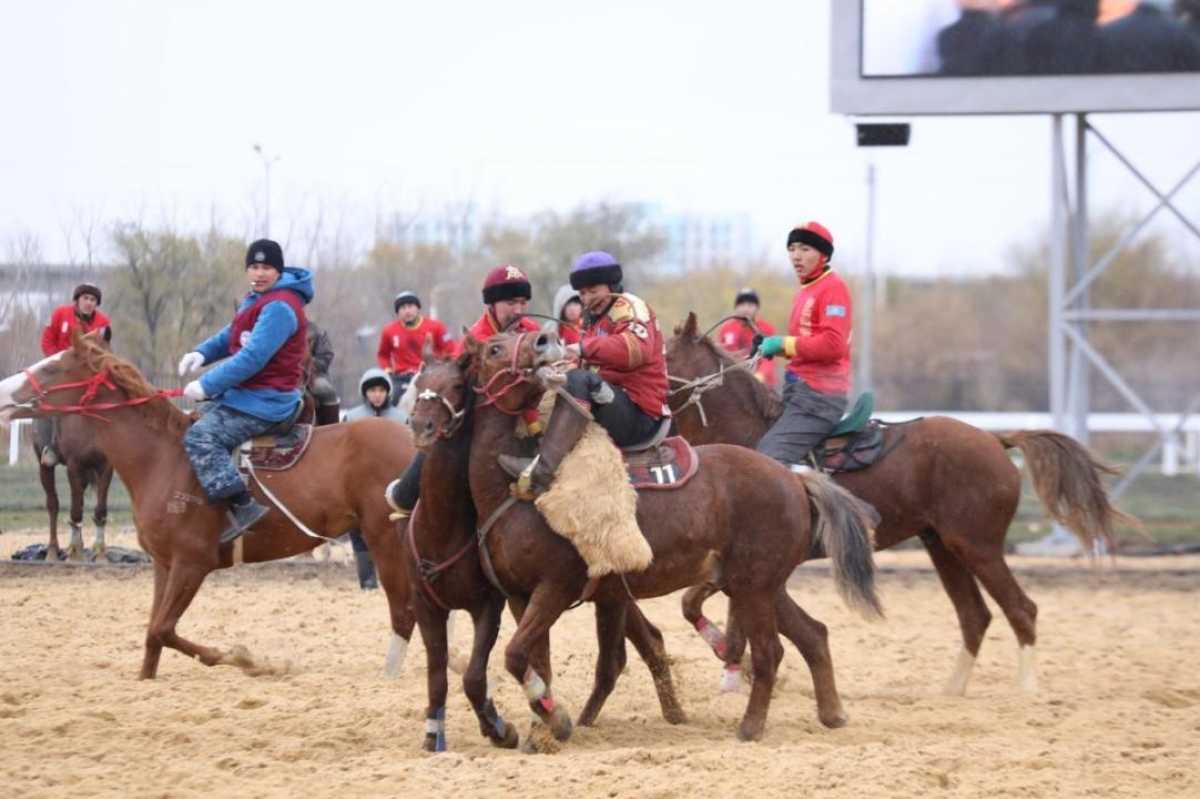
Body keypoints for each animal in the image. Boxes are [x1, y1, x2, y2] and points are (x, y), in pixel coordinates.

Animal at [0, 328, 417, 676]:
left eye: (52, 367)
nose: (4, 391)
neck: (164, 458)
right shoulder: (164, 565)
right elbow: (153, 636)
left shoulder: (192, 564)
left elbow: (164, 629)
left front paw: (239, 658)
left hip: (385, 542)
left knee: (404, 611)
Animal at [403, 355, 686, 753]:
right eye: (419, 382)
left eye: (458, 385)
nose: (422, 425)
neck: (444, 527)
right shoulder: (427, 604)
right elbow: (438, 675)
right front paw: (434, 734)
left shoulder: (494, 604)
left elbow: (476, 676)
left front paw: (502, 729)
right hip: (613, 593)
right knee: (645, 641)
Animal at [451, 326, 883, 739]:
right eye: (493, 347)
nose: (546, 340)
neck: (506, 491)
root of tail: (794, 477)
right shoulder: (520, 597)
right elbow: (535, 661)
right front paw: (545, 727)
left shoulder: (556, 588)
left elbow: (515, 655)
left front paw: (553, 718)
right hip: (761, 585)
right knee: (813, 635)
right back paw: (832, 713)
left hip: (754, 588)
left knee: (768, 652)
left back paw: (750, 727)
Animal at [667, 314, 1132, 695]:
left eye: (665, 354)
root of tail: (994, 439)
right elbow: (705, 605)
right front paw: (734, 668)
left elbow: (708, 604)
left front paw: (735, 664)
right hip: (943, 545)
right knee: (975, 616)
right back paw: (950, 691)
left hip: (978, 546)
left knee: (1021, 608)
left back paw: (1027, 690)